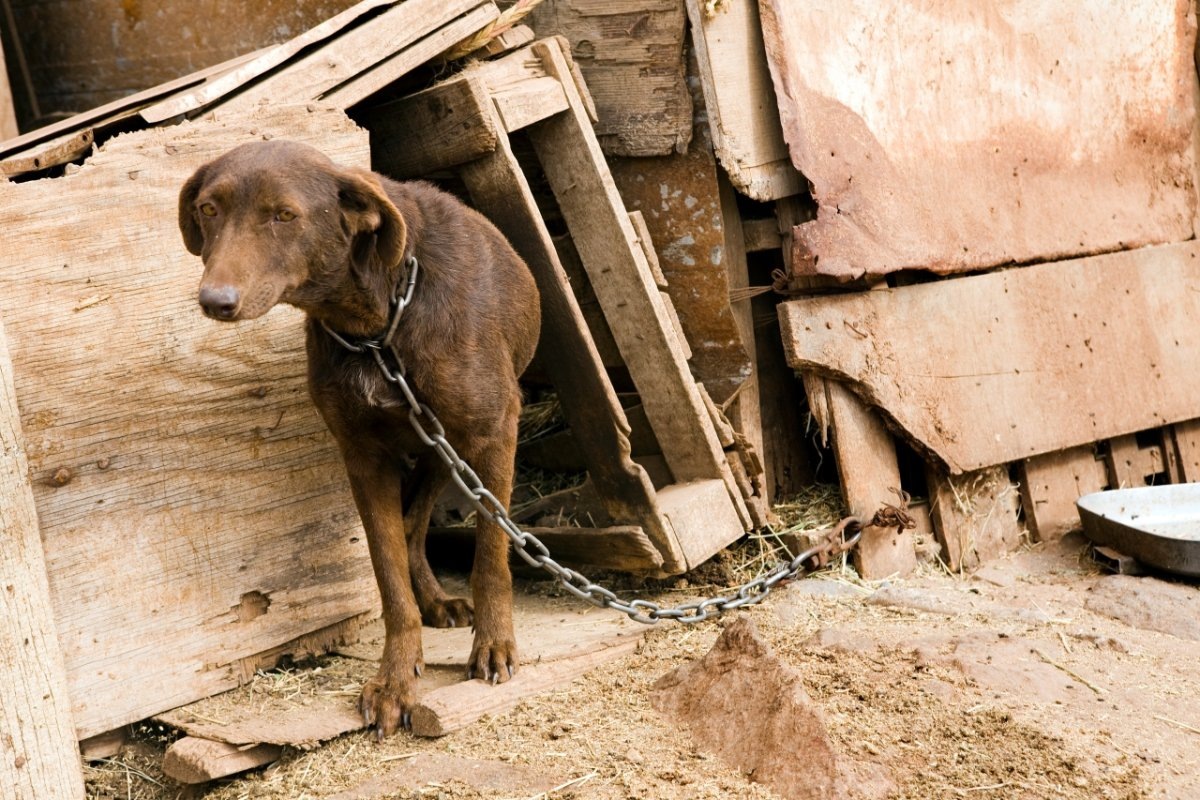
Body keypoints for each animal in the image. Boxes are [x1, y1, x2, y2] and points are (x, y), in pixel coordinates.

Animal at [176, 139, 540, 738]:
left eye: (284, 215)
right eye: (209, 209)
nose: (215, 300)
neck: (377, 324)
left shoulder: (493, 432)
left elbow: (491, 555)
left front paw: (493, 646)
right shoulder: (363, 458)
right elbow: (388, 577)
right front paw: (396, 680)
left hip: (446, 448)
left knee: (420, 520)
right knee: (412, 526)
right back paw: (433, 601)